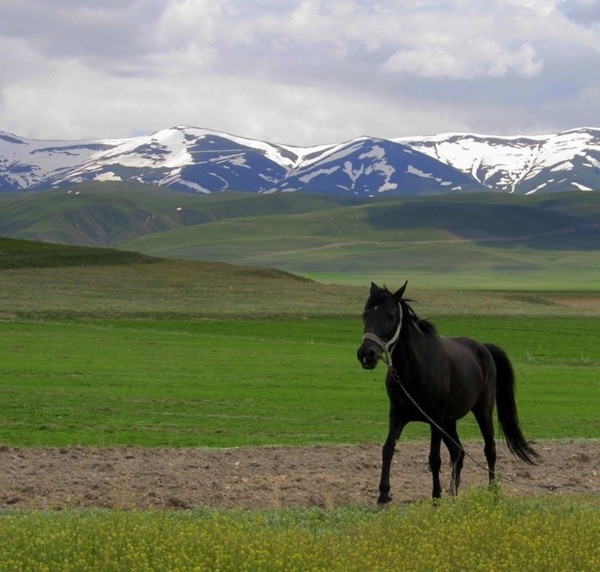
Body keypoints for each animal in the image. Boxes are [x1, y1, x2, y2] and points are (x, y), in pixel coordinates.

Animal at [356, 284, 540, 502]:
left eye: (391, 315)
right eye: (365, 314)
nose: (366, 354)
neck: (414, 371)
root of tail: (484, 348)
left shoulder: (435, 419)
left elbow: (434, 458)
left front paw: (436, 497)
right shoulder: (398, 415)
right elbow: (388, 449)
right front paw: (383, 495)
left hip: (482, 412)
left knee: (489, 449)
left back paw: (491, 491)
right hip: (449, 422)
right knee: (458, 452)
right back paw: (453, 493)